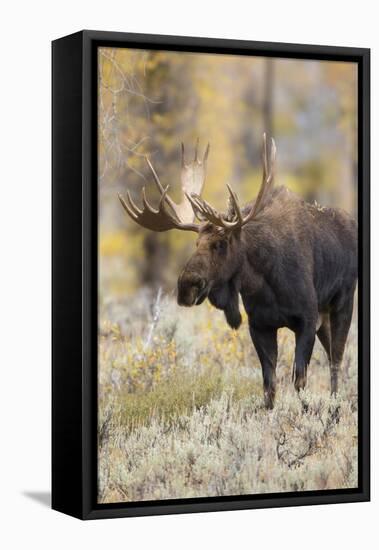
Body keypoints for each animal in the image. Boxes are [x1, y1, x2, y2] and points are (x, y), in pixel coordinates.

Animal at [119, 134, 360, 410]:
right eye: (196, 243)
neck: (263, 284)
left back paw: (336, 406)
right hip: (324, 317)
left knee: (336, 360)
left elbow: (300, 382)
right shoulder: (260, 326)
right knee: (332, 355)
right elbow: (269, 387)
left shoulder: (307, 320)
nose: (186, 286)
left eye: (221, 243)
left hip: (342, 302)